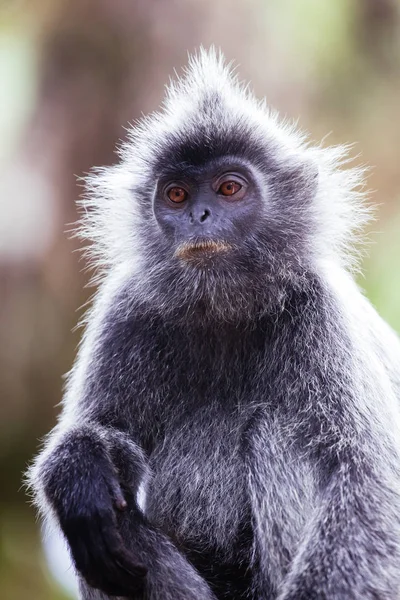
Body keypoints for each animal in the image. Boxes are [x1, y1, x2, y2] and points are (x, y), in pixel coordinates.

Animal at [28, 48, 400, 600]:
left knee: (274, 430)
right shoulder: (126, 309)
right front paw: (78, 467)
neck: (225, 311)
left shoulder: (322, 309)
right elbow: (100, 436)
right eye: (177, 196)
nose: (200, 216)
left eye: (229, 189)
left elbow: (369, 483)